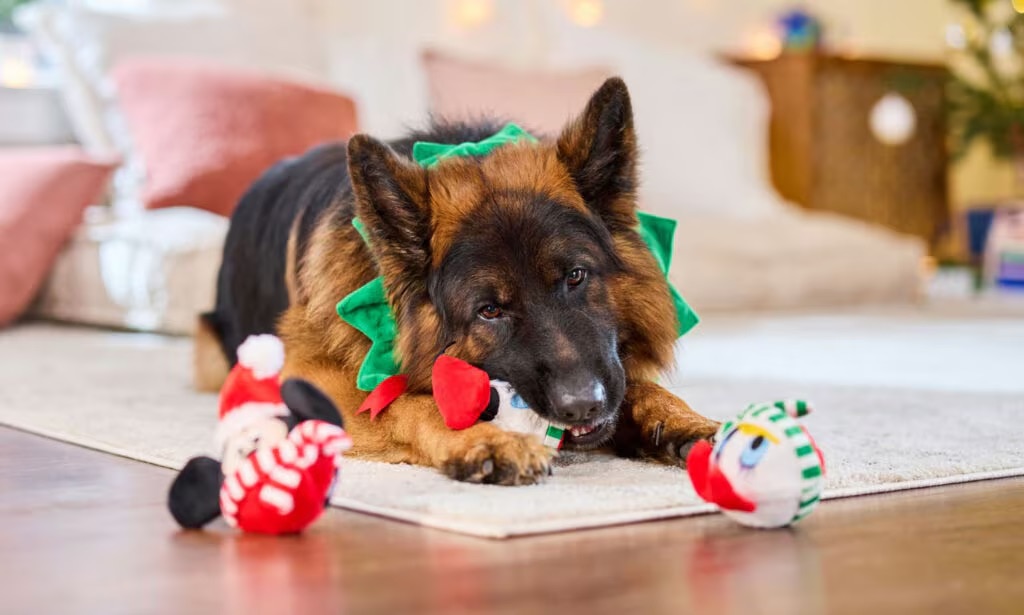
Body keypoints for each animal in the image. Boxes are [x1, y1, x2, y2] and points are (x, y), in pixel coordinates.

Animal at [195, 77, 716, 485]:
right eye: (490, 310)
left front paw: (682, 419)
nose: (583, 406)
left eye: (575, 276)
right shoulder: (314, 377)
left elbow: (638, 385)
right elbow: (408, 403)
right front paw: (485, 440)